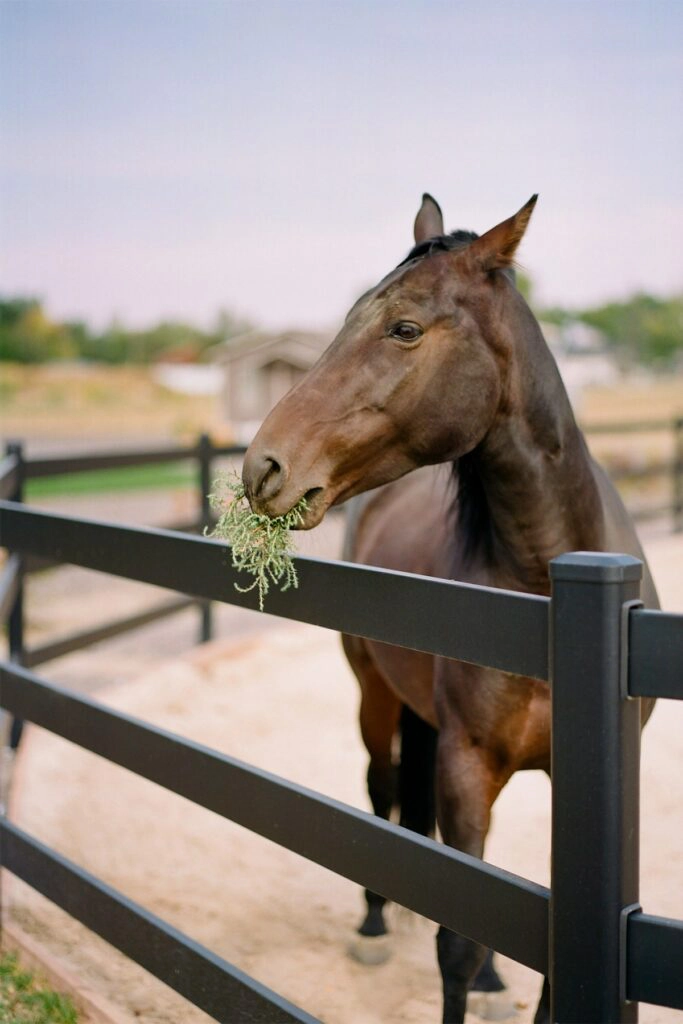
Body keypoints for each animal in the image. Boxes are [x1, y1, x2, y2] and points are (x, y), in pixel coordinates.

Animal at [241, 194, 658, 1023]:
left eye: (404, 329)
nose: (262, 467)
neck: (542, 592)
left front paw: (502, 977)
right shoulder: (465, 765)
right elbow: (455, 942)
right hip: (373, 694)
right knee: (379, 788)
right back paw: (374, 924)